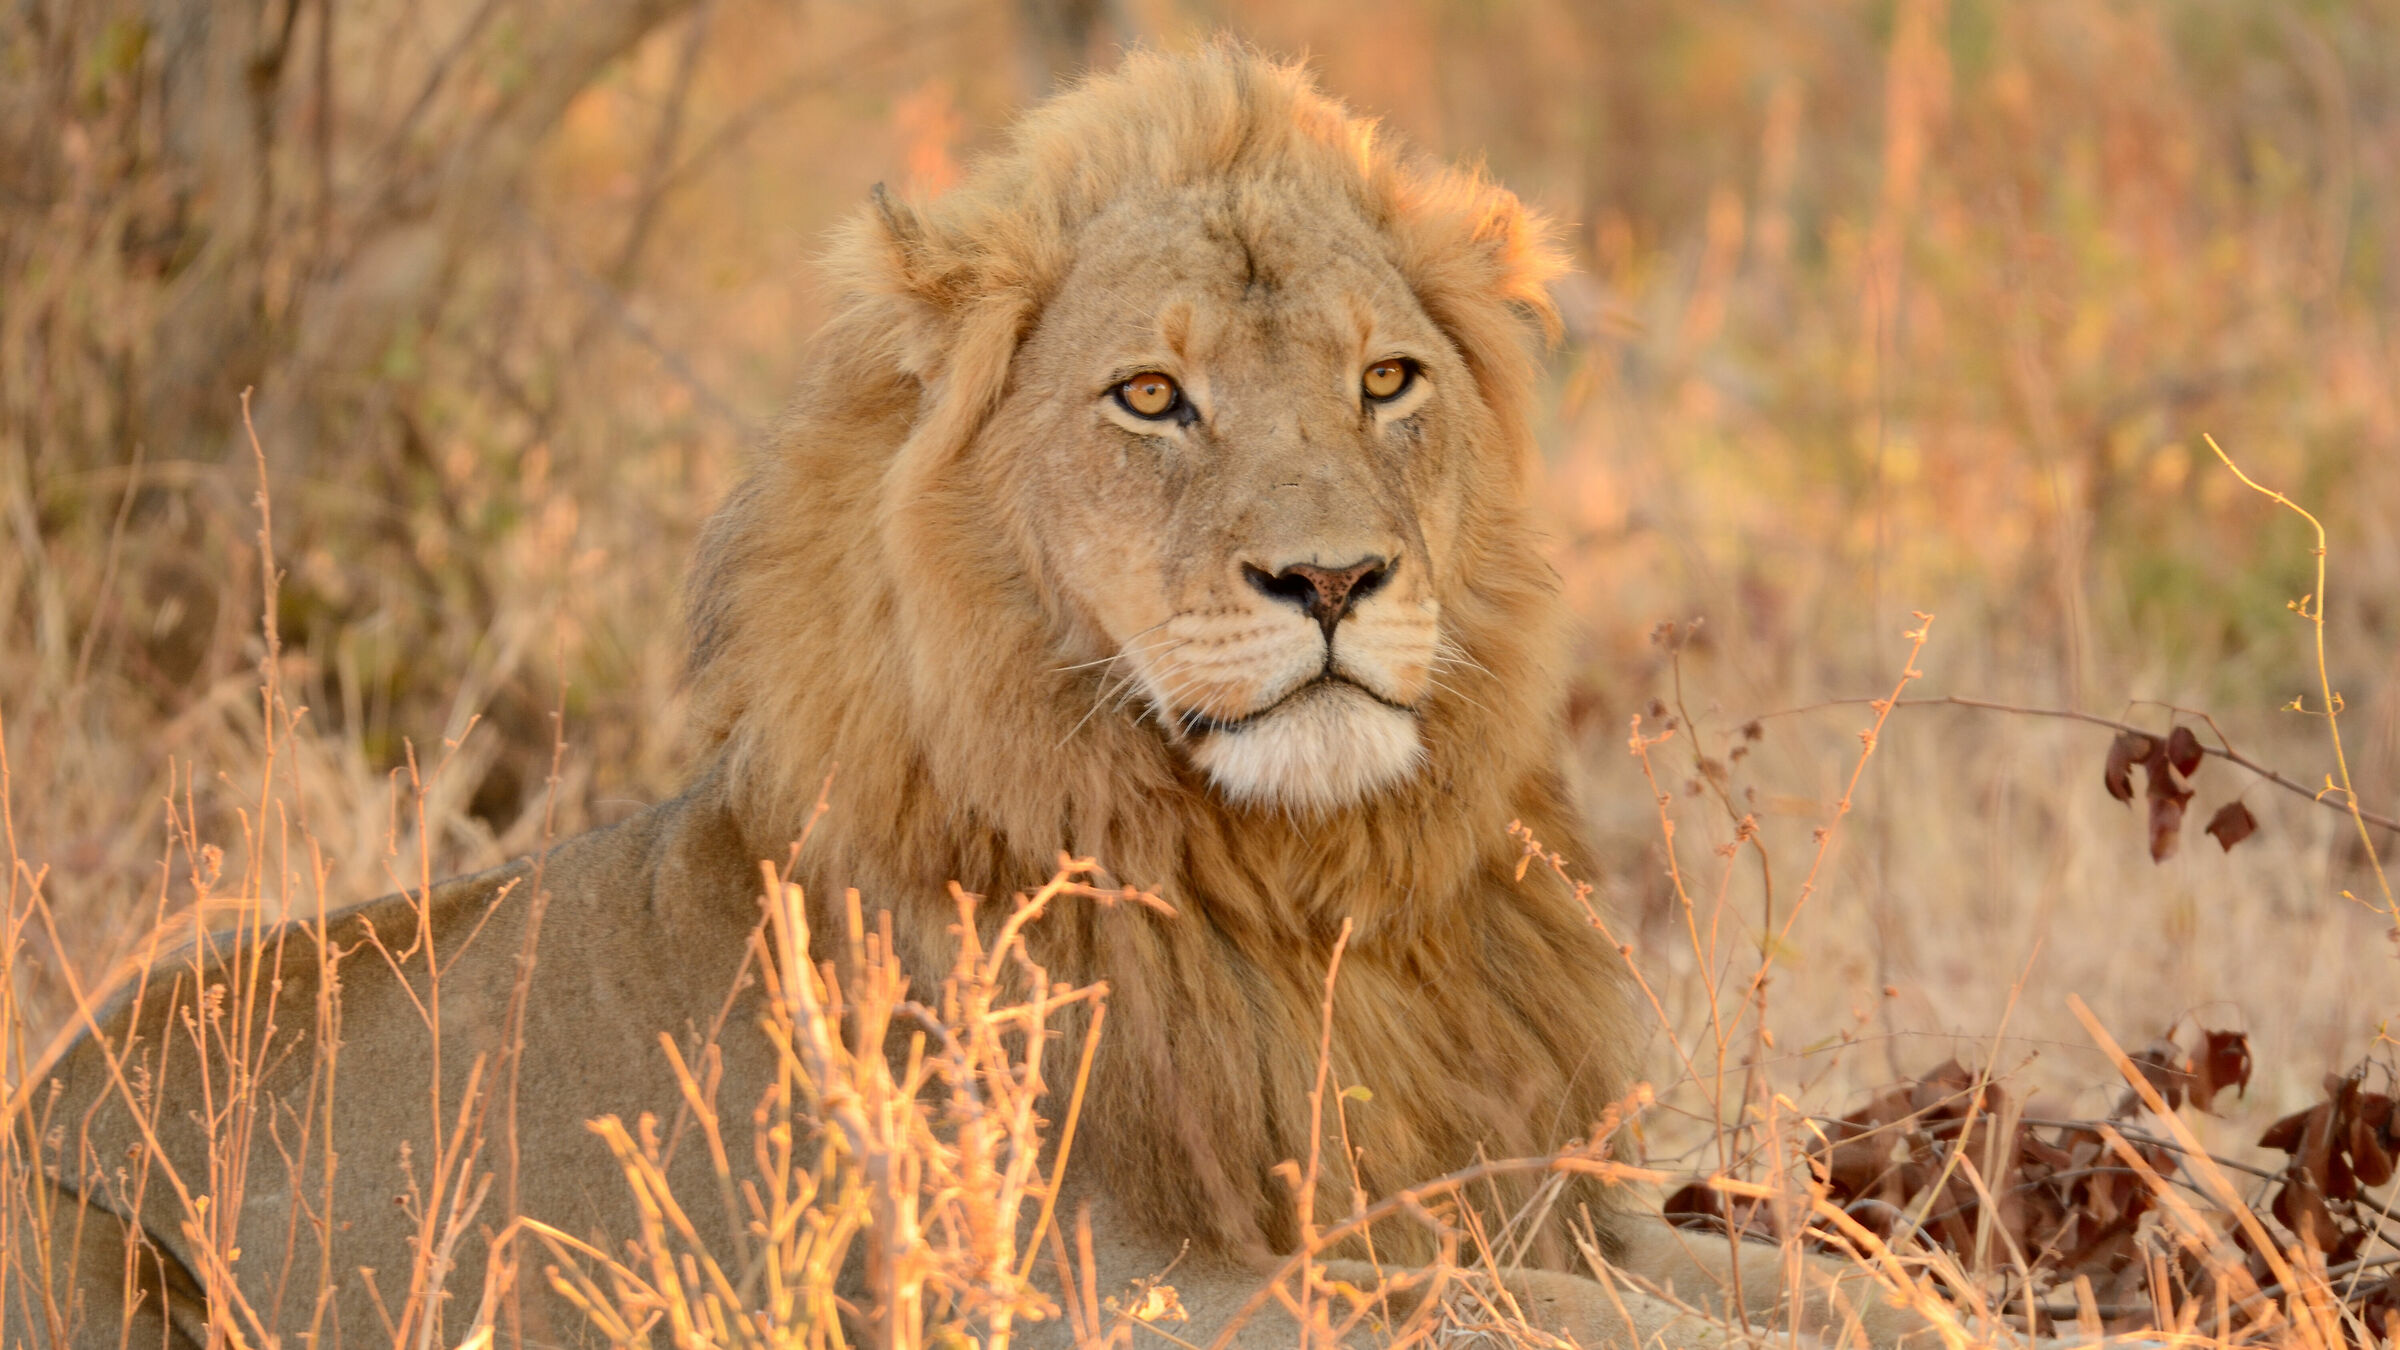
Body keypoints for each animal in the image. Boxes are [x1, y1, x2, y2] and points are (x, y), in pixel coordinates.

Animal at [12, 46, 1932, 1350]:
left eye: (1388, 379)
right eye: (1150, 396)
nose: (1332, 581)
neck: (1299, 897)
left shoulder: (1540, 1193)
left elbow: (1836, 1282)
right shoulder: (1106, 1280)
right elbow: (1517, 1309)